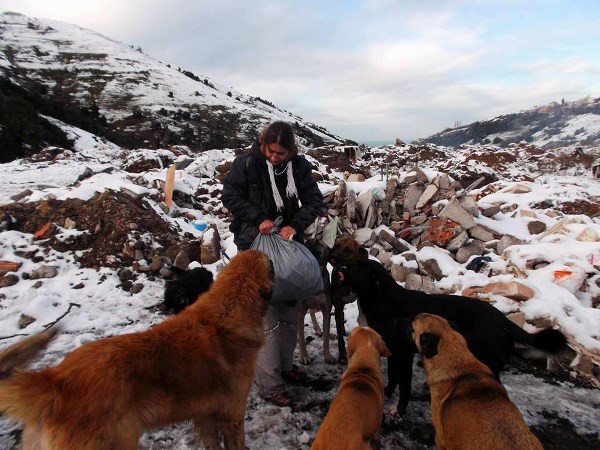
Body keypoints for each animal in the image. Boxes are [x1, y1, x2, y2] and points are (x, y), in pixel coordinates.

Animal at [336, 258, 564, 416]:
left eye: (358, 265)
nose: (339, 265)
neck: (383, 300)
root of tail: (505, 321)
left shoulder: (404, 355)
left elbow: (404, 385)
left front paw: (399, 411)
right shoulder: (392, 351)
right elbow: (392, 377)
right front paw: (387, 392)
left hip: (487, 362)